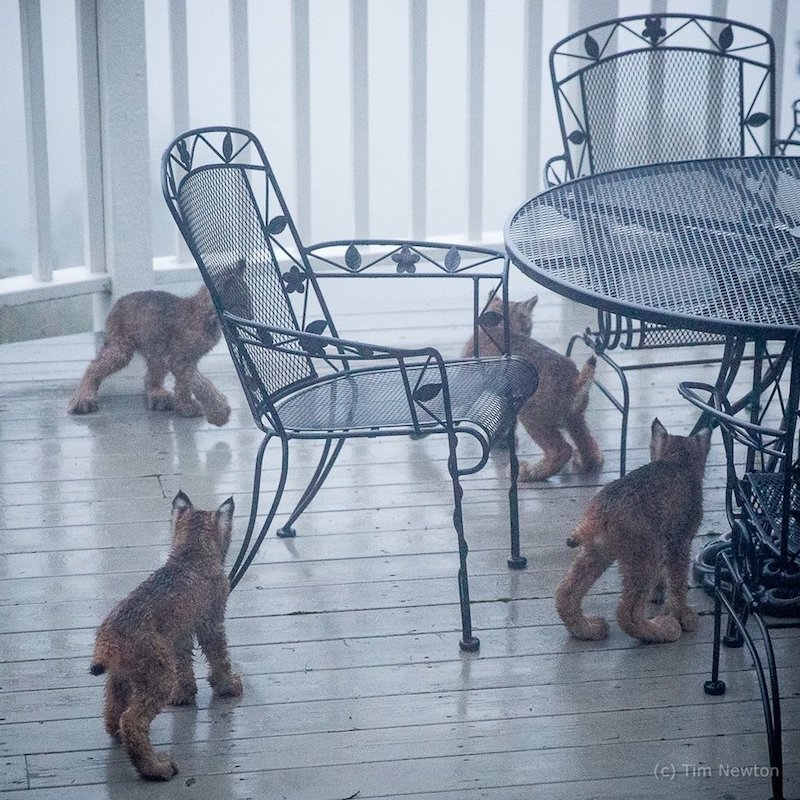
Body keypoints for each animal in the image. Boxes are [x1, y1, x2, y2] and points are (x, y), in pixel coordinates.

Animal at [466, 296, 604, 478]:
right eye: (529, 326)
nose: (529, 332)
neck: (498, 327)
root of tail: (573, 382)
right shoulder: (507, 398)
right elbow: (507, 420)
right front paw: (503, 440)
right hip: (574, 417)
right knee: (588, 446)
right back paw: (585, 460)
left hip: (531, 413)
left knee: (561, 450)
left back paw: (529, 472)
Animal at [556, 418, 712, 644]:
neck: (677, 459)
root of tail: (602, 507)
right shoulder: (680, 541)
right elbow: (678, 581)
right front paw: (682, 615)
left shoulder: (668, 541)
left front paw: (659, 595)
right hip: (646, 553)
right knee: (626, 612)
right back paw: (663, 630)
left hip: (600, 550)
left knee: (565, 591)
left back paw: (587, 630)